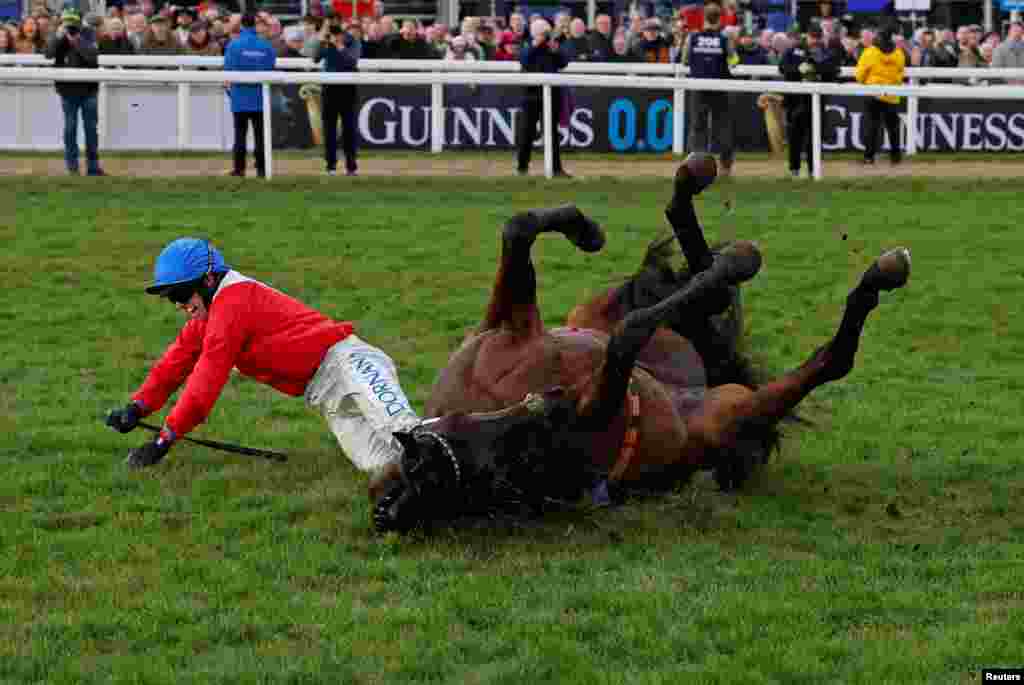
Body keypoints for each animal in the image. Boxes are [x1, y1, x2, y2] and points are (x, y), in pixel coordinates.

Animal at [368, 154, 913, 532]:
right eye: (505, 466)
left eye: (420, 471)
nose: (549, 408)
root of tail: (707, 382)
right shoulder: (594, 402)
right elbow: (631, 332)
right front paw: (734, 260)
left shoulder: (505, 328)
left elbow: (518, 229)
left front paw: (584, 228)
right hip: (733, 411)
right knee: (826, 357)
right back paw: (863, 274)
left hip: (599, 314)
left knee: (700, 290)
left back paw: (693, 182)